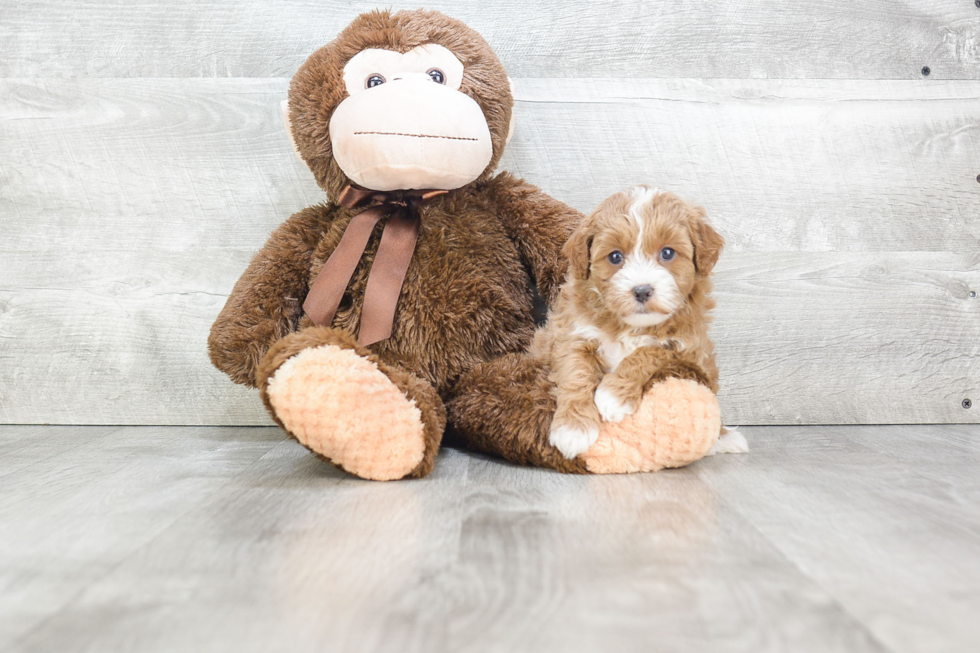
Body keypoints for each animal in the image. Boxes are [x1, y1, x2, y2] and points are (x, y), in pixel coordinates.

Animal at [532, 185, 748, 458]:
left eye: (667, 253)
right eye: (615, 257)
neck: (632, 325)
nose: (642, 290)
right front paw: (573, 429)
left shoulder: (688, 347)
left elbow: (649, 352)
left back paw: (724, 437)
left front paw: (612, 396)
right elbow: (576, 373)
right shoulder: (572, 334)